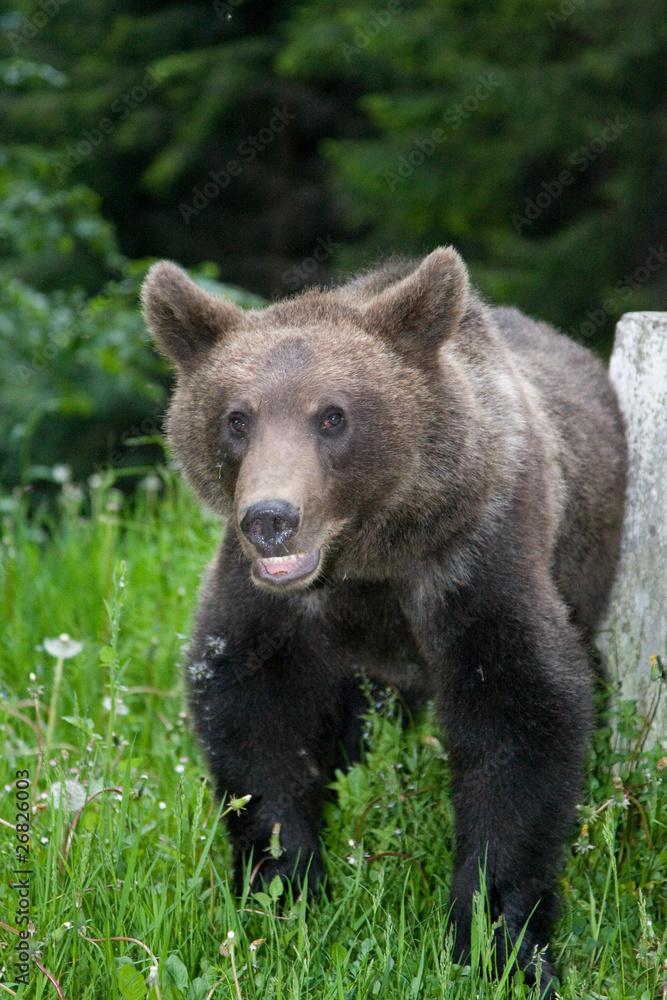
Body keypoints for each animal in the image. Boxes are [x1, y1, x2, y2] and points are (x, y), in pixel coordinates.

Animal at [141, 248, 628, 992]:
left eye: (332, 416)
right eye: (237, 417)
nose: (270, 519)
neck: (369, 557)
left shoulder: (471, 559)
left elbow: (521, 718)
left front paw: (498, 942)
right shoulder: (276, 605)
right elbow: (252, 712)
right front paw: (285, 890)